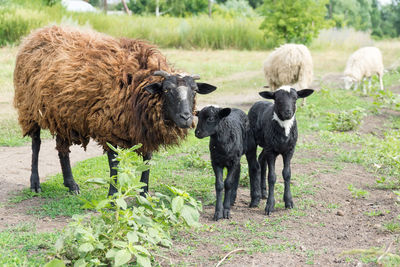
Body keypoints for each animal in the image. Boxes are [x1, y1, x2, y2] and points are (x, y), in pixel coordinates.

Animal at [14, 25, 217, 195]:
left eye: (195, 91)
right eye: (166, 90)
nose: (186, 117)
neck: (137, 87)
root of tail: (36, 34)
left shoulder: (144, 130)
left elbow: (147, 161)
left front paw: (143, 193)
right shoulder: (107, 127)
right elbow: (114, 164)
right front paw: (112, 196)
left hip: (62, 114)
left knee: (62, 148)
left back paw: (71, 184)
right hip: (30, 110)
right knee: (36, 144)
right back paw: (35, 183)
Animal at [247, 86, 316, 216]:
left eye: (295, 98)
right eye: (277, 99)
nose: (288, 112)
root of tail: (259, 102)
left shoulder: (289, 150)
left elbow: (287, 174)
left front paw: (289, 202)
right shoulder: (271, 151)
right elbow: (272, 177)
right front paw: (270, 205)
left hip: (267, 144)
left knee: (261, 160)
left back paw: (264, 193)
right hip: (255, 142)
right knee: (254, 165)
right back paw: (256, 198)